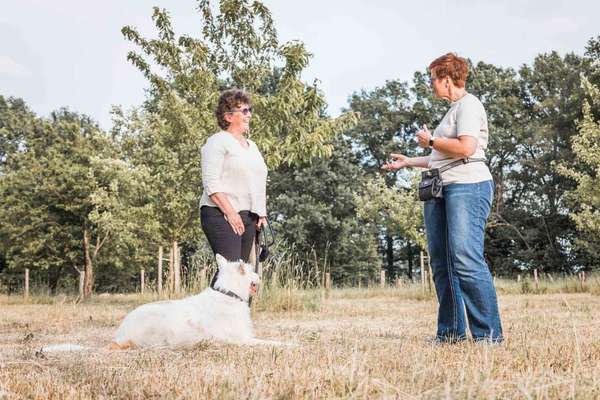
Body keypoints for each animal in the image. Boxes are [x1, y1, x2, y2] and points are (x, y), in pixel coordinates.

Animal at [44, 255, 284, 352]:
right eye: (252, 272)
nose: (259, 277)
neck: (228, 293)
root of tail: (119, 337)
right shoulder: (243, 339)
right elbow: (270, 342)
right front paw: (287, 345)